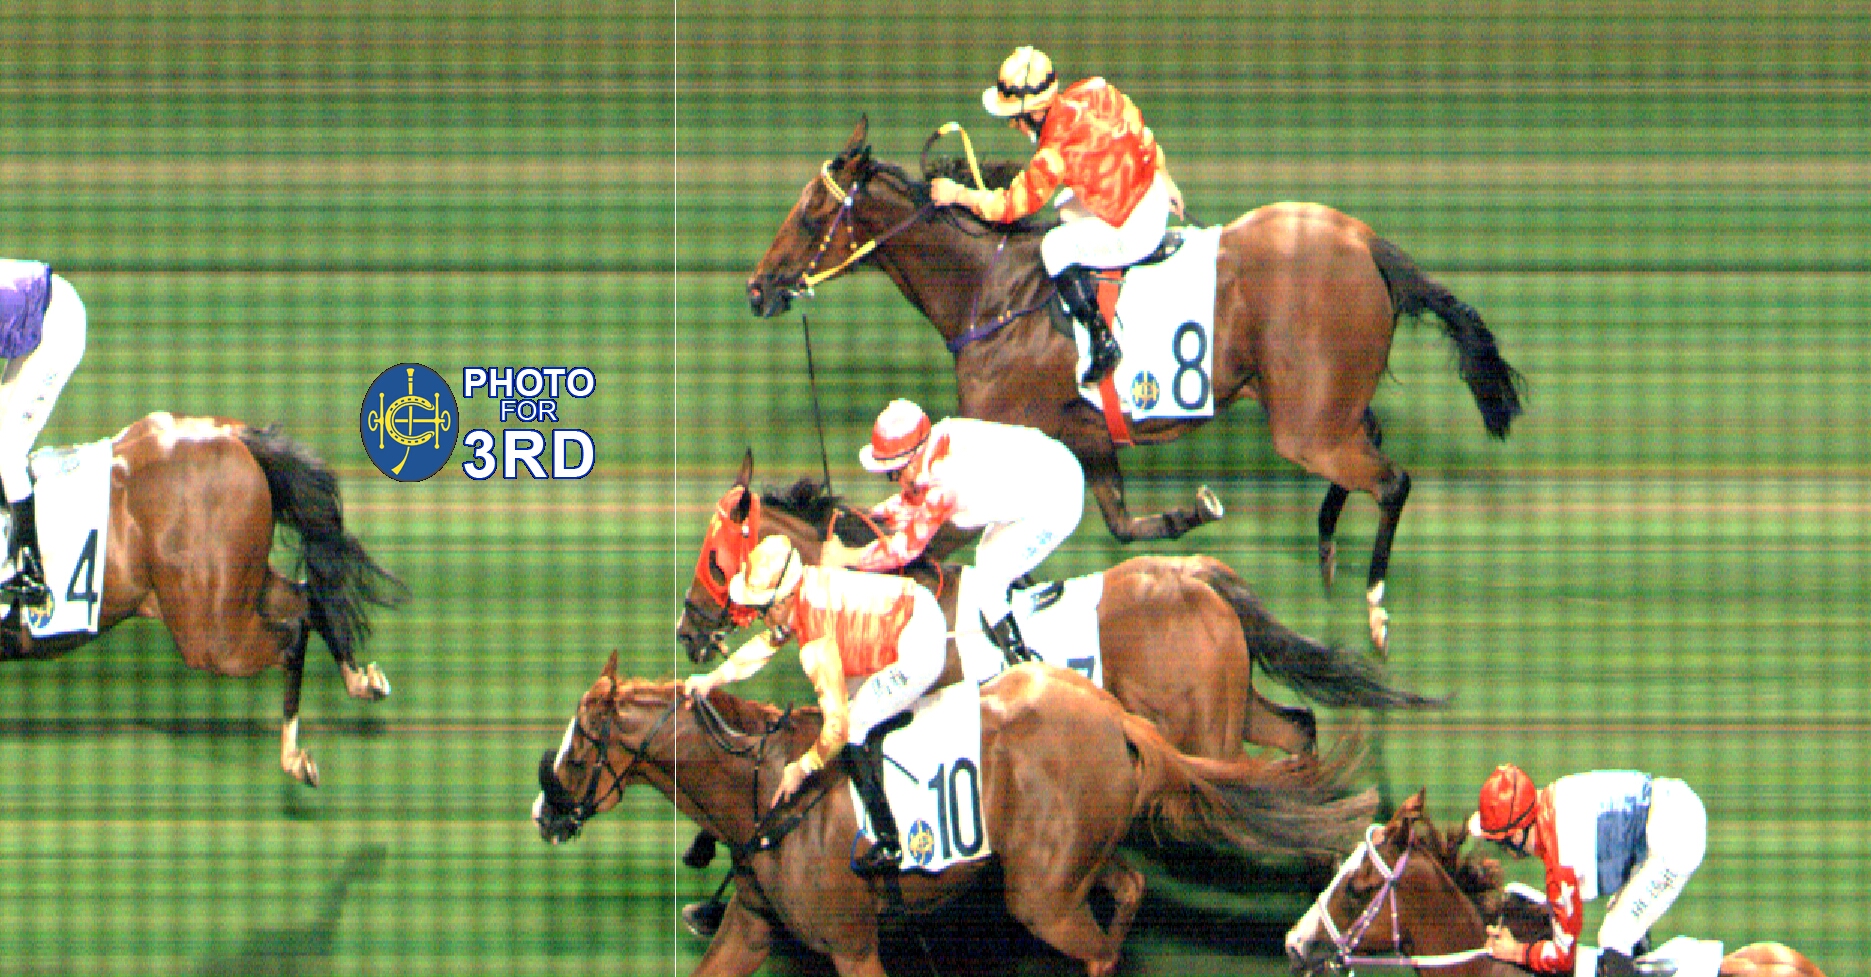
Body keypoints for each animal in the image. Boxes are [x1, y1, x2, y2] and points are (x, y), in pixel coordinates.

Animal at [0, 412, 405, 787]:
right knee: (310, 603)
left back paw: (295, 757)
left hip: (211, 632)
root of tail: (232, 435)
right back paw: (362, 683)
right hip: (239, 590)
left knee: (290, 637)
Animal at [534, 652, 1378, 977]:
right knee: (1128, 887)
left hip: (1039, 898)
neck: (765, 790)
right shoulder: (752, 927)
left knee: (1094, 938)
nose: (543, 812)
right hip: (1064, 863)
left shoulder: (852, 945)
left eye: (576, 751)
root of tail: (1117, 716)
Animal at [746, 116, 1525, 652]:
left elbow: (922, 551)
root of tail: (1365, 241)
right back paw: (1329, 549)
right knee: (1371, 445)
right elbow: (1122, 524)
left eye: (811, 216)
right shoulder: (1086, 438)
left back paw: (1373, 603)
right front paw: (1190, 515)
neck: (991, 293)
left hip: (1304, 429)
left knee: (1392, 480)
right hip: (1323, 408)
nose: (757, 290)